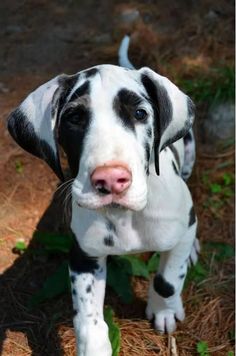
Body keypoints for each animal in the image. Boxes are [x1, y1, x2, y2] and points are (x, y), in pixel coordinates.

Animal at [7, 34, 198, 356]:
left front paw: (164, 310)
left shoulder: (181, 227)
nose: (110, 180)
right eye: (74, 118)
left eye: (140, 114)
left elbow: (167, 280)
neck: (125, 217)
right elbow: (88, 320)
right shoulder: (84, 256)